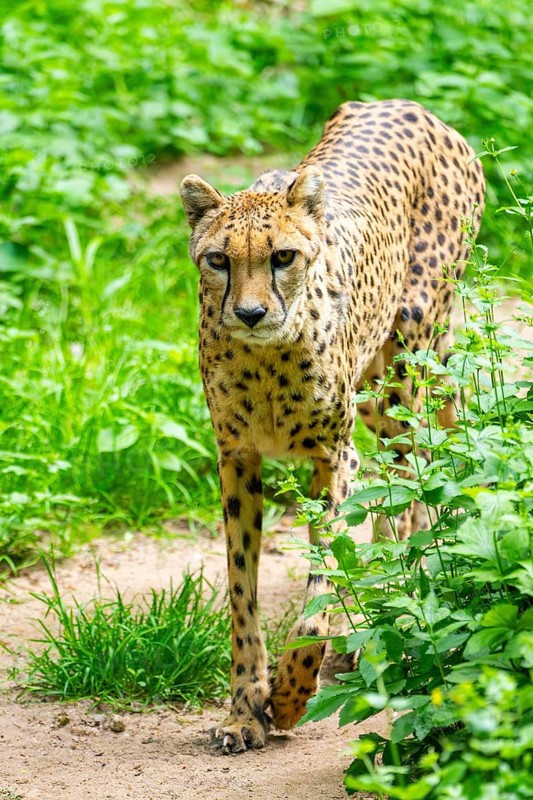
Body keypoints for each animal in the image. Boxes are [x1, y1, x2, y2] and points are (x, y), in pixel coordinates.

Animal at [179, 99, 485, 754]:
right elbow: (241, 592)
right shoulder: (237, 461)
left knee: (411, 479)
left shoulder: (333, 456)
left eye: (283, 257)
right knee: (400, 481)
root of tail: (403, 104)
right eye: (219, 260)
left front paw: (292, 695)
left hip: (407, 363)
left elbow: (319, 587)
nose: (250, 312)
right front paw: (244, 712)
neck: (264, 359)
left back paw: (389, 613)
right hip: (376, 392)